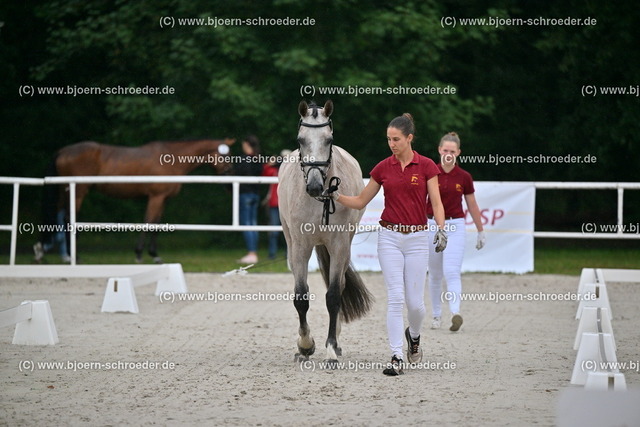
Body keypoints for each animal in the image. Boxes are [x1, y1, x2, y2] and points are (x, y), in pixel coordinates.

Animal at [35, 138, 235, 263]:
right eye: (225, 155)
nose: (229, 181)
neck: (173, 159)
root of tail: (63, 151)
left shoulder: (164, 199)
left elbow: (158, 225)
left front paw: (154, 255)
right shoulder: (156, 197)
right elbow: (149, 222)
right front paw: (140, 254)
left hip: (64, 192)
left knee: (57, 216)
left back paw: (43, 252)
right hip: (78, 192)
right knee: (68, 218)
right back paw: (72, 256)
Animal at [278, 100, 374, 365]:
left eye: (329, 139)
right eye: (300, 139)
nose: (314, 186)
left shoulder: (339, 246)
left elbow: (333, 296)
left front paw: (331, 348)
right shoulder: (301, 247)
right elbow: (301, 296)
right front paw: (305, 345)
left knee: (339, 287)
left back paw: (337, 343)